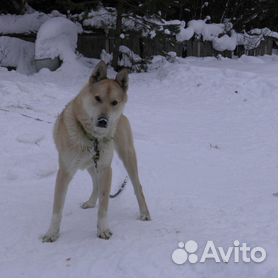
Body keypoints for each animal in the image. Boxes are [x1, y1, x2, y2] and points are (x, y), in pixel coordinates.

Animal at [41, 60, 150, 241]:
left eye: (114, 102)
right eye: (97, 98)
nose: (103, 121)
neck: (92, 137)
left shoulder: (106, 169)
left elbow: (104, 204)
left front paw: (103, 229)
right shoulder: (65, 171)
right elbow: (57, 208)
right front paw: (52, 233)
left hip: (126, 157)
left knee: (137, 187)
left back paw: (144, 213)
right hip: (91, 164)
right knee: (96, 183)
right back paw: (91, 202)